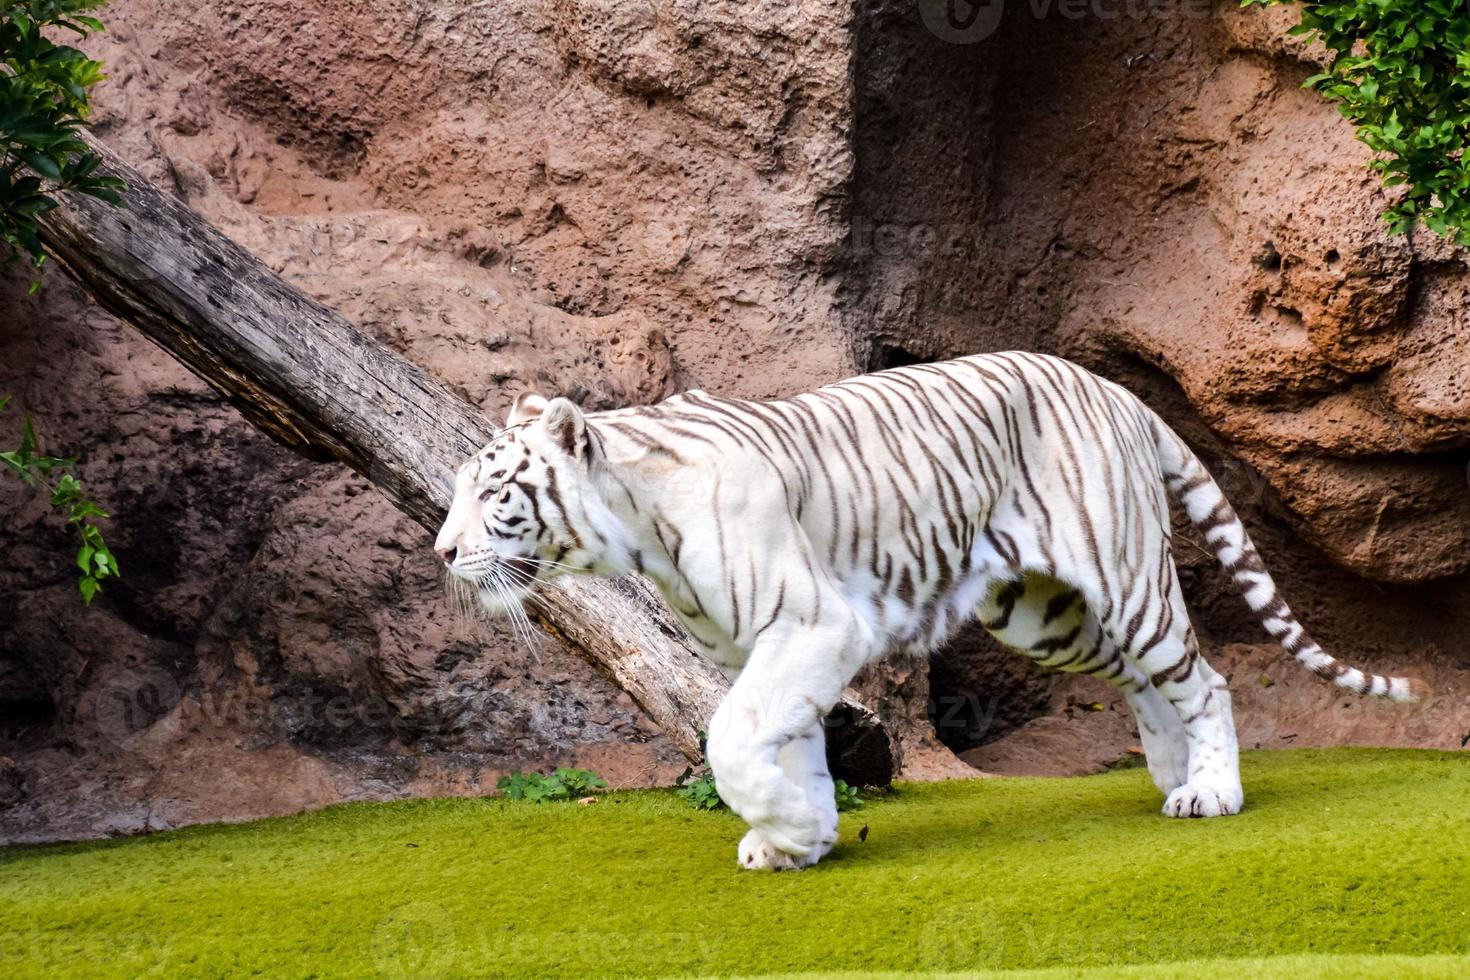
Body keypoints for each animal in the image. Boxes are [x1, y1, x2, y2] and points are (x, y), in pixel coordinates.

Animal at [432, 354, 1422, 875]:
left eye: (493, 491)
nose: (441, 554)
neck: (634, 531)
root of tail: (1115, 388)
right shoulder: (764, 648)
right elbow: (792, 744)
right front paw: (801, 839)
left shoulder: (813, 623)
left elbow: (732, 740)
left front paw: (784, 831)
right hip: (1046, 617)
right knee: (1148, 683)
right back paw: (1172, 775)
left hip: (1126, 577)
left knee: (1204, 677)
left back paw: (1211, 791)